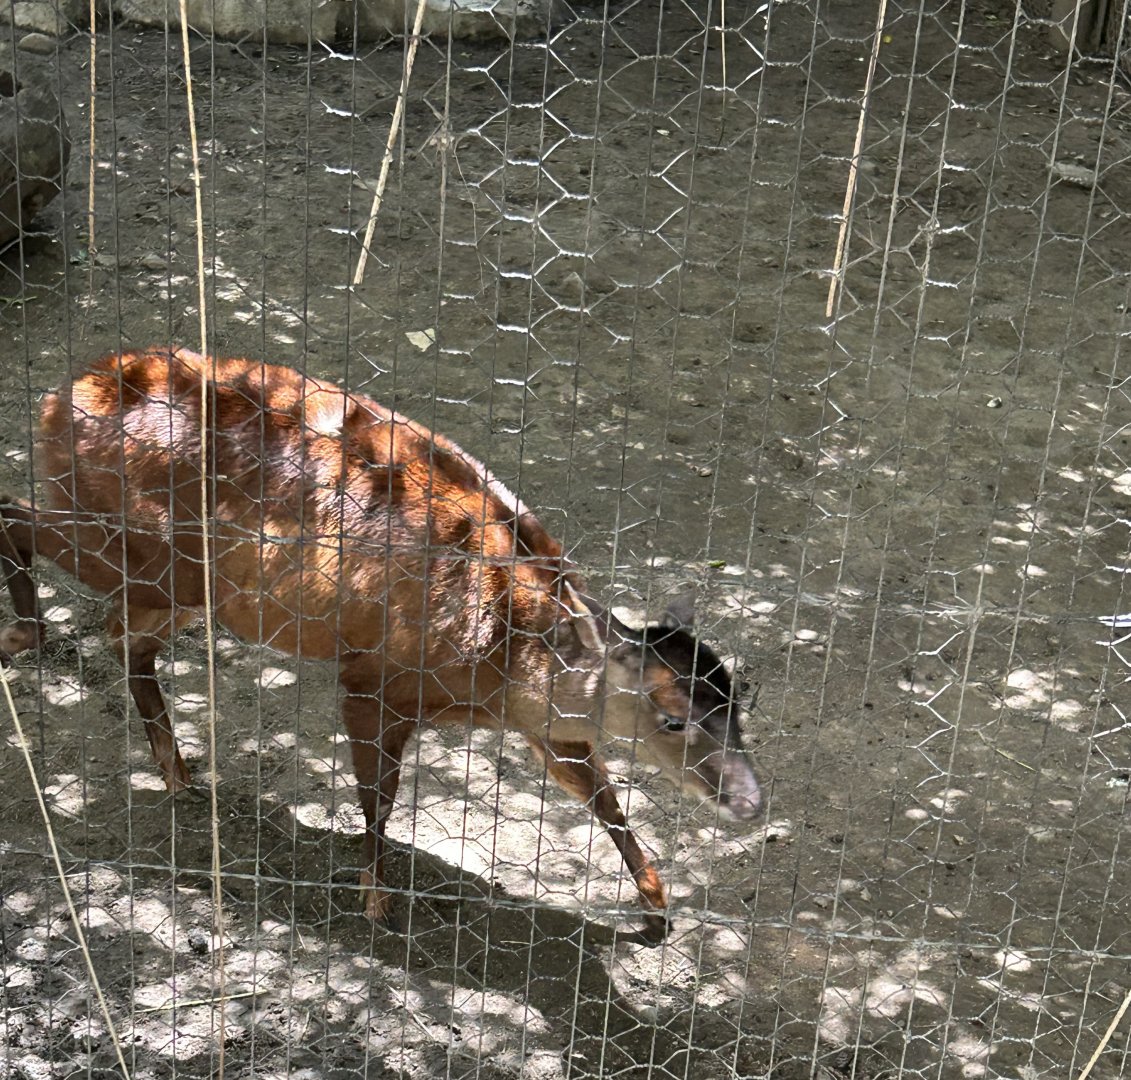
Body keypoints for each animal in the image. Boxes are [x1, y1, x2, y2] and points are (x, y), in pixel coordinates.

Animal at [0, 347, 762, 942]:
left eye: (739, 703)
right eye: (672, 718)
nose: (752, 803)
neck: (501, 657)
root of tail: (60, 396)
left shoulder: (539, 722)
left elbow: (601, 796)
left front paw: (658, 908)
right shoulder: (373, 675)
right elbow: (380, 797)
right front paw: (376, 901)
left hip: (183, 583)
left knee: (121, 636)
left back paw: (178, 772)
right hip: (142, 549)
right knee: (22, 521)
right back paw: (23, 636)